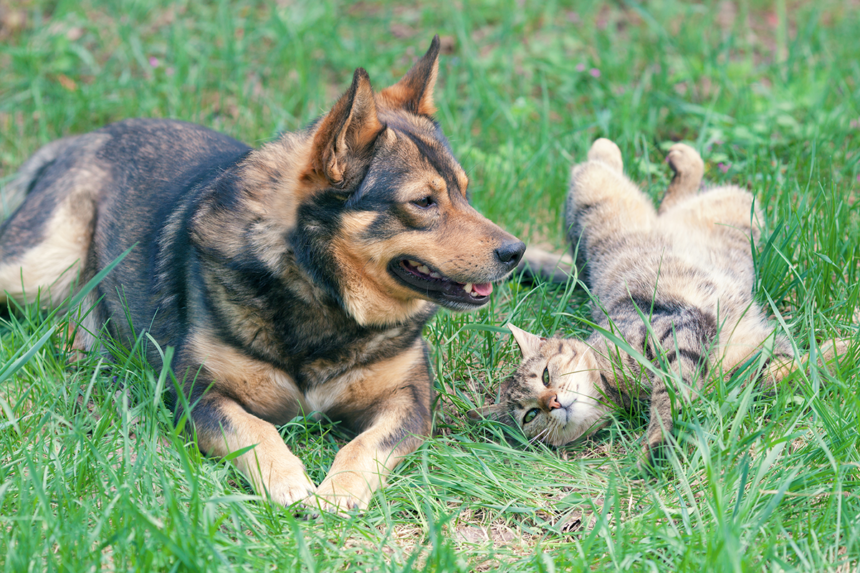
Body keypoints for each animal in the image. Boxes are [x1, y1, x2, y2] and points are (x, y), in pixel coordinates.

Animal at [0, 35, 524, 510]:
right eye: (423, 202)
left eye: (465, 192)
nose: (516, 252)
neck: (320, 293)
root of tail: (90, 136)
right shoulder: (199, 396)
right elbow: (257, 430)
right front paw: (289, 482)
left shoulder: (408, 401)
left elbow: (364, 445)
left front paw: (339, 490)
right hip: (37, 269)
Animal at [474, 140, 844, 470]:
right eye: (530, 414)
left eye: (547, 375)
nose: (551, 402)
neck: (611, 385)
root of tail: (581, 274)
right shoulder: (745, 369)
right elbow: (793, 371)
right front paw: (841, 352)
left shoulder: (677, 328)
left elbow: (670, 392)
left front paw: (656, 440)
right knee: (670, 198)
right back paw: (680, 161)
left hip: (599, 195)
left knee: (605, 162)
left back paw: (658, 154)